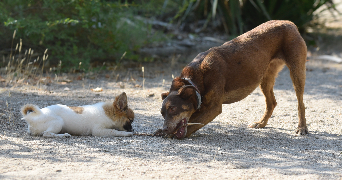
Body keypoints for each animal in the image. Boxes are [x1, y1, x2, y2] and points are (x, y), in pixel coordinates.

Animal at [156, 20, 308, 139]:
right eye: (162, 113)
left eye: (173, 109)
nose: (165, 128)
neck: (194, 80)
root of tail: (289, 23)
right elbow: (190, 120)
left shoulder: (213, 108)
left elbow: (192, 124)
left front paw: (171, 134)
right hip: (265, 77)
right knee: (272, 103)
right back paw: (261, 123)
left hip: (296, 71)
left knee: (300, 103)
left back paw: (301, 128)